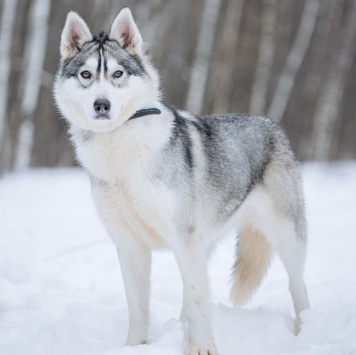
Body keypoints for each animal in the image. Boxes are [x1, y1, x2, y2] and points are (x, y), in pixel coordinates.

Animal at [52, 8, 308, 355]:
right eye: (86, 75)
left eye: (118, 74)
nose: (101, 105)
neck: (121, 153)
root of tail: (271, 124)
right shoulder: (130, 245)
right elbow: (138, 307)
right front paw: (134, 346)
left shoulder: (183, 241)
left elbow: (200, 300)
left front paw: (201, 348)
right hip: (203, 242)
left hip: (285, 239)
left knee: (298, 287)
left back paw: (306, 331)